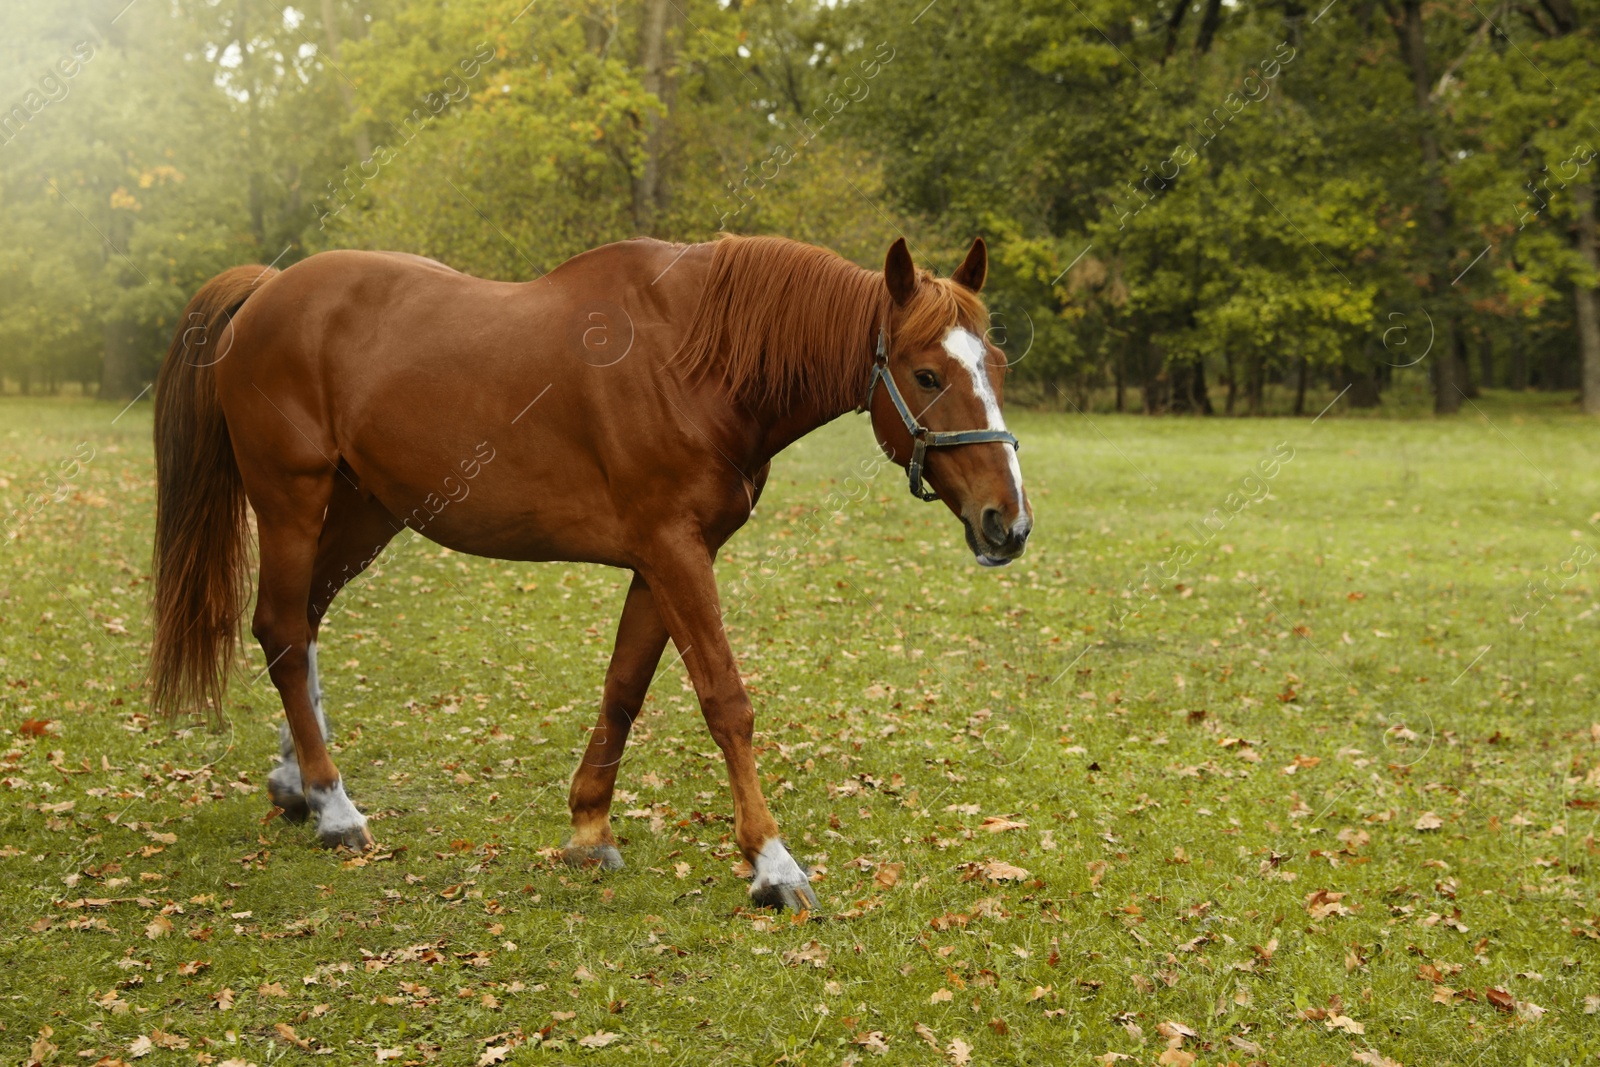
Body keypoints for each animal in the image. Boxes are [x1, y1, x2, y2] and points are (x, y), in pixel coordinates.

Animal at [147, 233, 1024, 908]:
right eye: (926, 374)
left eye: (998, 365)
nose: (1007, 523)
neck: (691, 361)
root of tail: (267, 290)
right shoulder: (673, 551)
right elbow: (725, 700)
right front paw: (772, 863)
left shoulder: (665, 558)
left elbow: (625, 686)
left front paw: (588, 826)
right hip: (292, 501)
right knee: (281, 628)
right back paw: (333, 805)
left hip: (368, 510)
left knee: (301, 623)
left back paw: (298, 779)